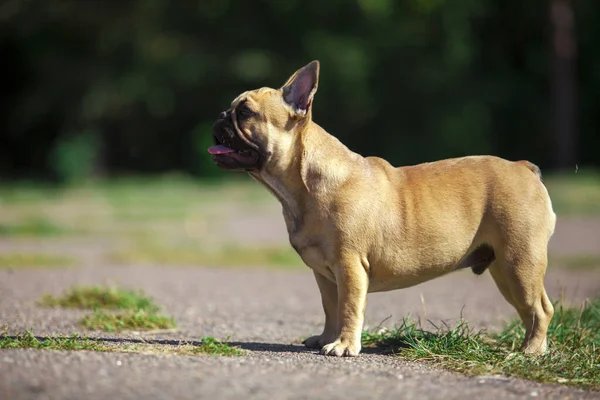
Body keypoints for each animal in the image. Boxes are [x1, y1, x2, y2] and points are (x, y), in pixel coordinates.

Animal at [211, 60, 556, 356]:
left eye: (245, 112)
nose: (219, 116)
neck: (301, 186)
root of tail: (523, 167)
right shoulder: (325, 276)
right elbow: (330, 307)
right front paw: (325, 338)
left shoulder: (349, 265)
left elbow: (349, 308)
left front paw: (343, 346)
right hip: (504, 268)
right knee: (527, 309)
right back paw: (529, 346)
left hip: (519, 261)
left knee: (540, 308)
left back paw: (531, 352)